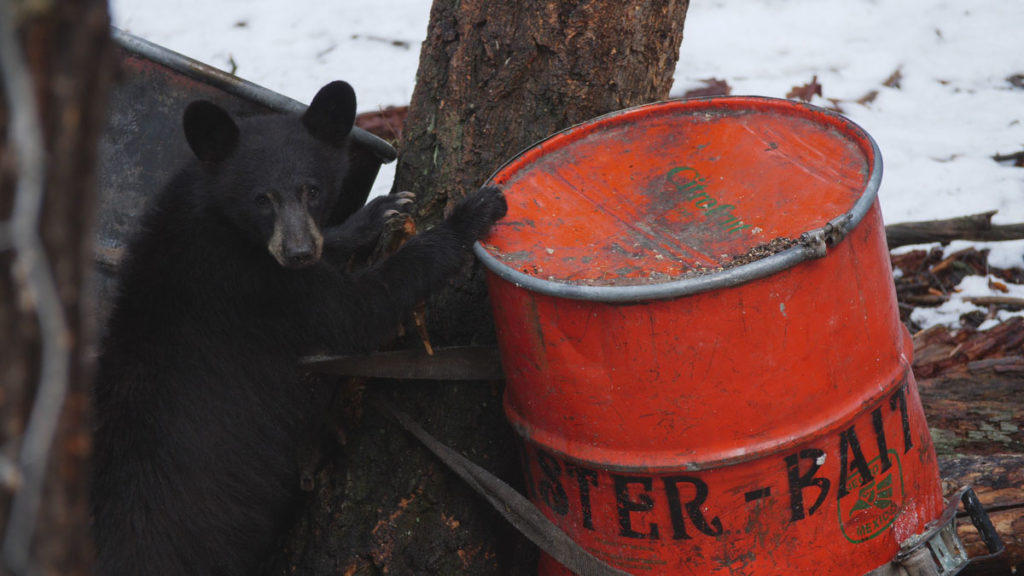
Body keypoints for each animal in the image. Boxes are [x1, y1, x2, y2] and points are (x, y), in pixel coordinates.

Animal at [90, 80, 507, 576]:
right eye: (261, 198)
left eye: (312, 189)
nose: (299, 252)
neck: (221, 221)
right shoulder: (255, 285)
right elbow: (357, 310)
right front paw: (474, 212)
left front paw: (378, 211)